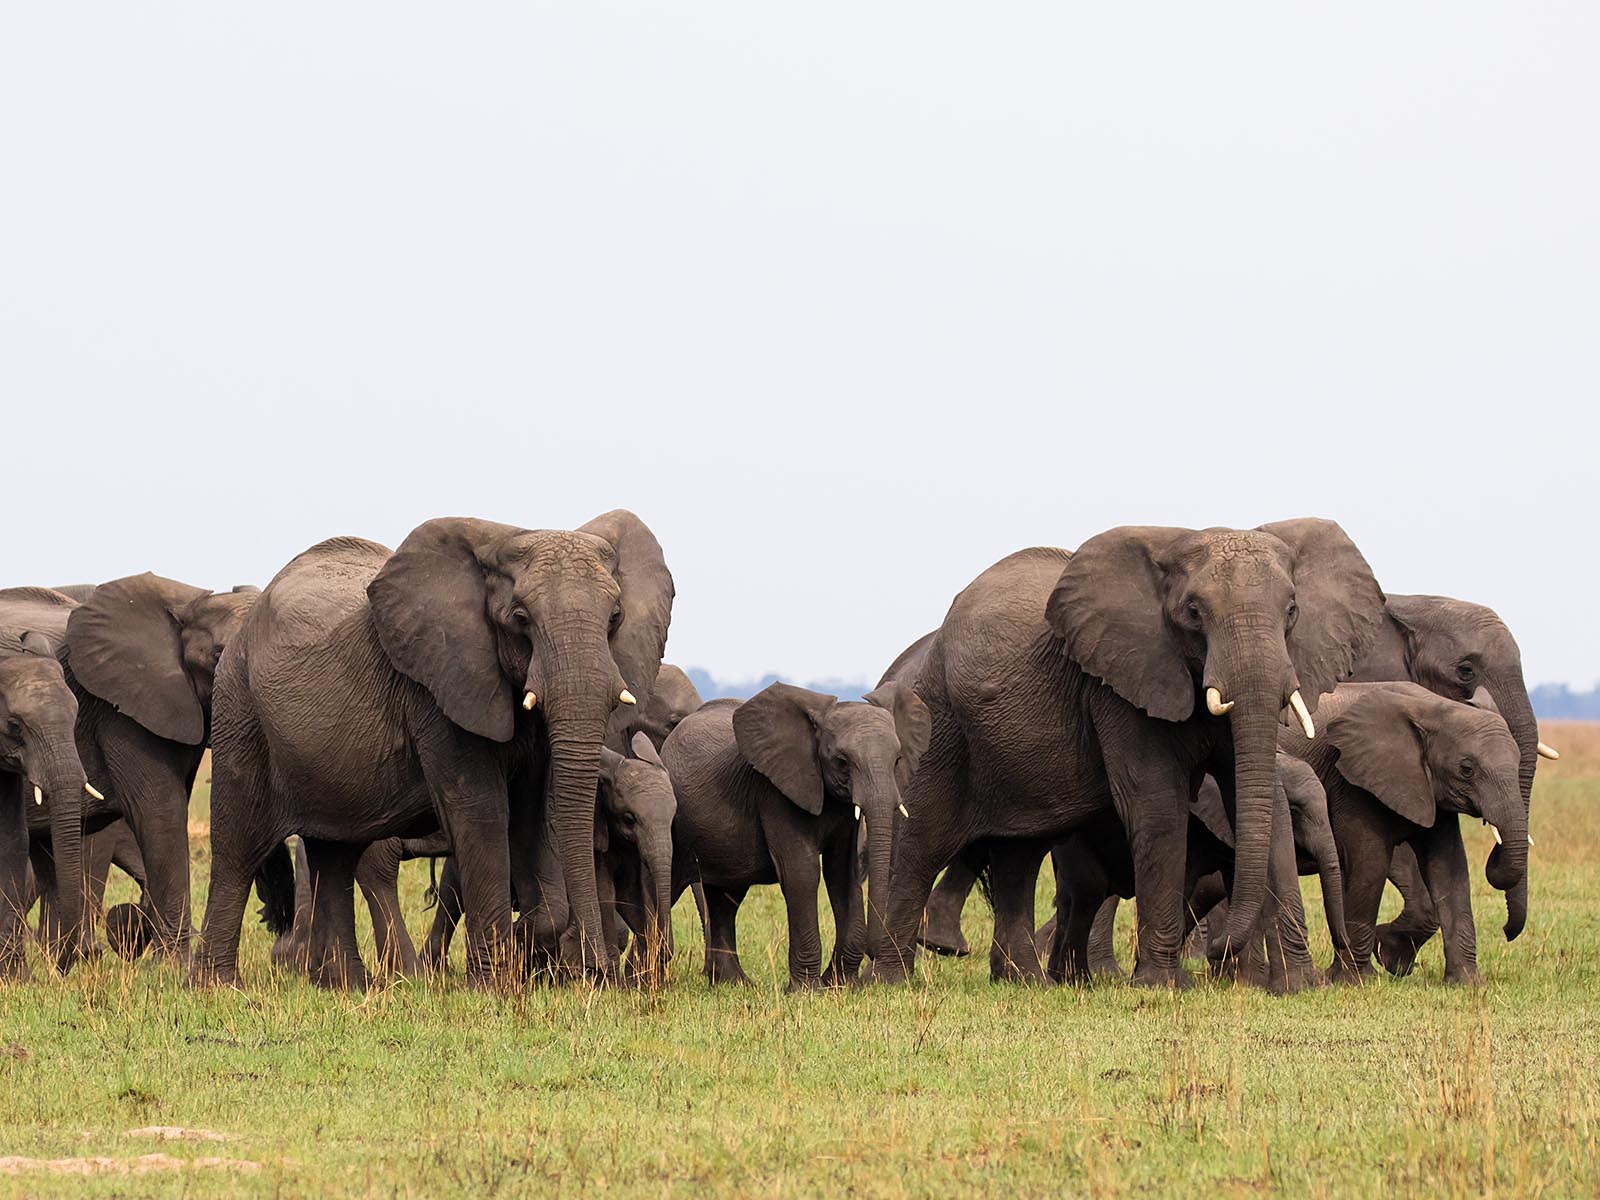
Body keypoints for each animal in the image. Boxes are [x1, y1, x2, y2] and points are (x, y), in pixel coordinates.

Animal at [191, 511, 673, 990]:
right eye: (520, 618)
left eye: (615, 618)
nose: (600, 972)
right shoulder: (437, 688)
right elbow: (481, 811)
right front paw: (494, 985)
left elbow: (531, 815)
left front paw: (524, 948)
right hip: (240, 706)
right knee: (238, 847)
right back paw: (218, 986)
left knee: (335, 854)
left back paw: (348, 985)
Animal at [662, 680, 929, 990]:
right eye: (842, 761)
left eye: (897, 760)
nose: (873, 954)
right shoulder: (776, 791)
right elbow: (802, 872)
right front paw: (808, 991)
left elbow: (842, 873)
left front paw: (840, 986)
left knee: (725, 899)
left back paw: (735, 984)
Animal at [873, 522, 1384, 989]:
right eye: (1193, 612)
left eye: (1292, 610)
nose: (1216, 952)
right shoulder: (1118, 682)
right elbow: (1157, 805)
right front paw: (1162, 986)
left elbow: (1260, 797)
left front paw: (1298, 987)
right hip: (942, 720)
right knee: (923, 843)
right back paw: (893, 982)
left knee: (1020, 855)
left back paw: (1025, 983)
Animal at [1282, 681, 1525, 984]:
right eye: (1467, 769)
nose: (1506, 931)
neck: (1432, 707)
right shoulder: (1353, 780)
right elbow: (1370, 863)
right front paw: (1356, 981)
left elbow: (1450, 868)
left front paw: (1467, 983)